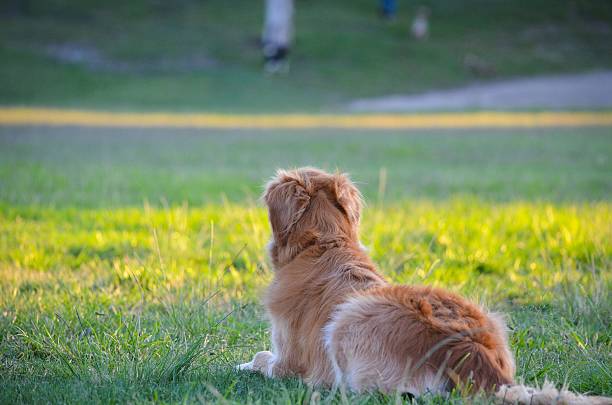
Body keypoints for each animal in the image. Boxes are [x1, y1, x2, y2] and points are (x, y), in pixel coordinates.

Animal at [240, 166, 612, 402]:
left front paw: (245, 364)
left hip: (347, 321)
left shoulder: (287, 362)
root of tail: (471, 353)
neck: (324, 244)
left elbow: (261, 356)